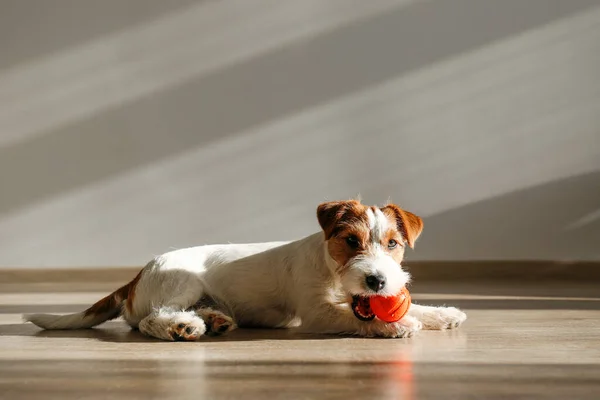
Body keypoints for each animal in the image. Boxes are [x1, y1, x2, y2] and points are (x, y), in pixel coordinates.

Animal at [24, 200, 468, 340]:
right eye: (351, 241)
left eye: (393, 244)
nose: (376, 279)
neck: (331, 269)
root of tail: (136, 276)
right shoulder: (319, 312)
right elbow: (354, 317)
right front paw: (396, 325)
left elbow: (414, 306)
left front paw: (444, 313)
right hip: (182, 280)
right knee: (151, 319)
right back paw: (182, 328)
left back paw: (213, 320)